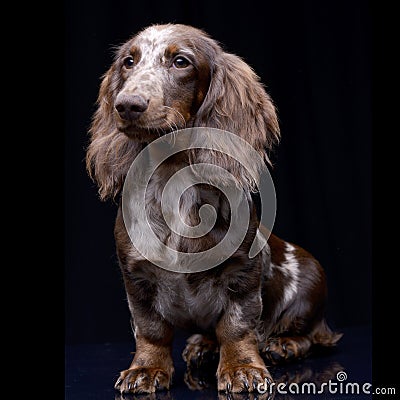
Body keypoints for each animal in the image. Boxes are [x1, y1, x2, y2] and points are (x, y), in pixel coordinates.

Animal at [85, 23, 340, 396]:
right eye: (128, 62)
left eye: (181, 61)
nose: (127, 105)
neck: (172, 177)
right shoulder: (135, 277)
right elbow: (150, 330)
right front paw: (145, 369)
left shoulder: (242, 272)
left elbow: (236, 326)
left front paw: (242, 369)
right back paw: (202, 346)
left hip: (310, 282)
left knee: (312, 336)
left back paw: (283, 345)